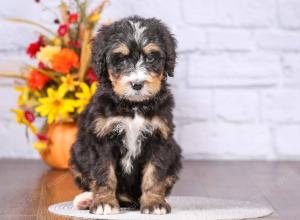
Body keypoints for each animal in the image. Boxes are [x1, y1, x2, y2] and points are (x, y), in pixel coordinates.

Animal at [70, 15, 182, 215]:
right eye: (121, 60)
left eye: (151, 57)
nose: (137, 84)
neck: (134, 107)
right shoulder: (102, 137)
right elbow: (104, 172)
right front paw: (104, 202)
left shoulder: (160, 138)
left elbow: (155, 173)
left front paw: (154, 203)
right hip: (78, 151)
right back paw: (86, 199)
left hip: (176, 154)